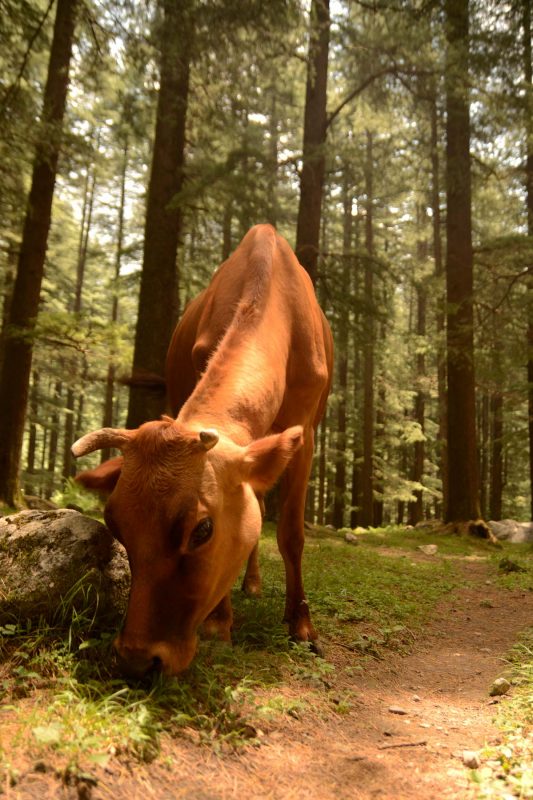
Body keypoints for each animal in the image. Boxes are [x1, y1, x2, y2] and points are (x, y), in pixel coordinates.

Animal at [72, 223, 332, 676]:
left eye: (202, 529)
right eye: (116, 526)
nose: (138, 658)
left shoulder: (306, 435)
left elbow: (291, 533)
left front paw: (302, 627)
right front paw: (219, 624)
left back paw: (255, 586)